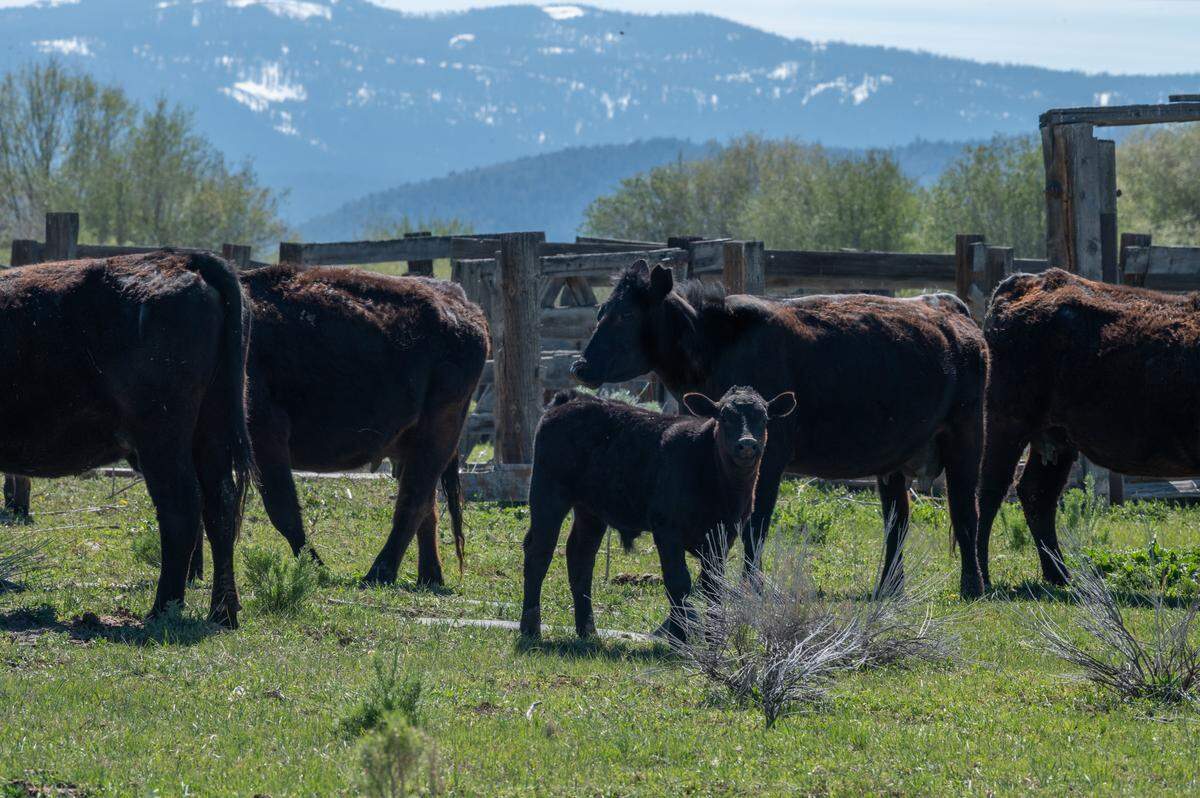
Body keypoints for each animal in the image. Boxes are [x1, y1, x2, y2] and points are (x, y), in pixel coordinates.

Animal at [0, 251, 252, 626]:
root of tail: (183, 259)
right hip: (211, 432)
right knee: (219, 506)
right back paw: (222, 612)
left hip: (161, 440)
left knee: (181, 506)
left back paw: (162, 609)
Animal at [193, 264, 489, 587]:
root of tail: (458, 301)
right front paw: (192, 572)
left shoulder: (265, 435)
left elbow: (282, 510)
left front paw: (315, 567)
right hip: (413, 445)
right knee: (426, 505)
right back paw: (429, 576)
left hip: (437, 434)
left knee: (414, 501)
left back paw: (379, 573)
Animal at [520, 386, 796, 641]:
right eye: (724, 417)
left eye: (764, 417)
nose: (747, 444)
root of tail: (572, 399)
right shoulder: (667, 530)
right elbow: (678, 582)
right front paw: (680, 637)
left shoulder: (723, 535)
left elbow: (713, 585)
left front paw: (713, 638)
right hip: (548, 494)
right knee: (539, 553)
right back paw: (531, 628)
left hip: (590, 510)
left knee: (581, 557)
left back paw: (588, 631)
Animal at [570, 260, 988, 598]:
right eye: (601, 310)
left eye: (625, 315)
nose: (580, 366)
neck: (717, 346)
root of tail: (948, 307)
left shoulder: (768, 456)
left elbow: (755, 524)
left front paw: (749, 588)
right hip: (895, 460)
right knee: (897, 521)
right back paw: (889, 588)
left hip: (967, 434)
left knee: (966, 509)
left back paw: (972, 585)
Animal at [977, 268, 1200, 587]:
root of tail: (1025, 282)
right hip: (1006, 425)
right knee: (990, 492)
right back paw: (979, 579)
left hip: (1055, 439)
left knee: (1036, 493)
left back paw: (1060, 576)